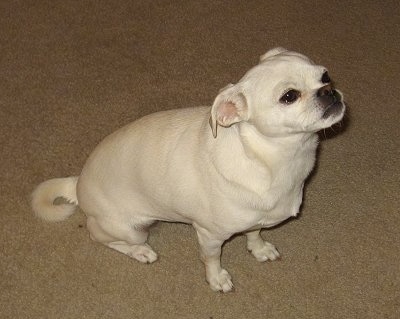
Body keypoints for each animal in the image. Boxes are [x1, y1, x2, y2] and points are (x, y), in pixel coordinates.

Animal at [31, 47, 346, 292]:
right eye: (289, 96)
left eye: (325, 75)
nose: (329, 91)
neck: (276, 159)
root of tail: (78, 183)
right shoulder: (209, 235)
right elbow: (211, 259)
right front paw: (217, 279)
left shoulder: (257, 217)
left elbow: (254, 231)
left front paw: (259, 249)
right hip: (131, 229)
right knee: (99, 236)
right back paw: (140, 251)